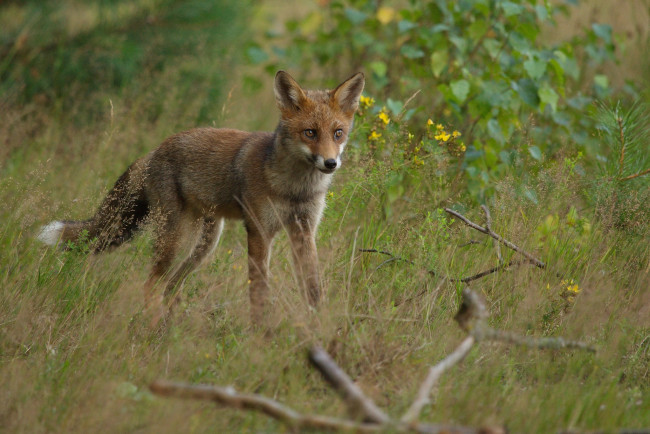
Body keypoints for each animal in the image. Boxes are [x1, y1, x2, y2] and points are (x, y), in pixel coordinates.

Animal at [36, 70, 364, 322]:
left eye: (337, 133)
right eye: (310, 133)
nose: (330, 163)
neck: (295, 189)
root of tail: (154, 150)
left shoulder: (304, 231)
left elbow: (313, 290)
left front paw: (318, 329)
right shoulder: (259, 230)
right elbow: (259, 292)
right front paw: (262, 337)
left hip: (204, 244)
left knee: (170, 286)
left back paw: (170, 327)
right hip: (177, 240)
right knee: (152, 284)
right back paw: (153, 329)